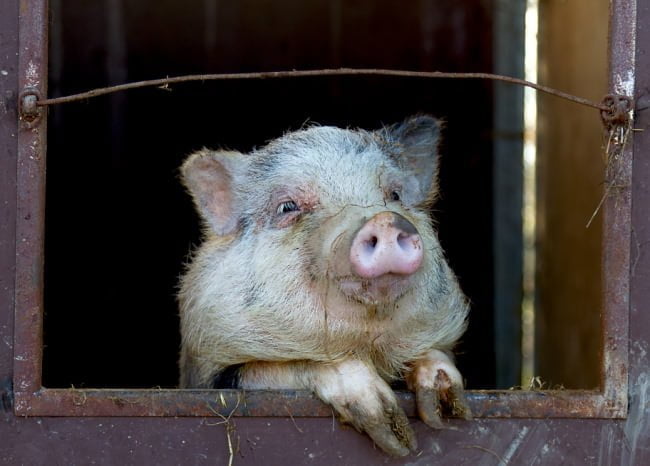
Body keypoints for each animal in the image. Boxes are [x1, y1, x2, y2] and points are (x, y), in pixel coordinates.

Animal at [178, 114, 470, 456]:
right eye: (288, 207)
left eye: (395, 195)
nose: (383, 220)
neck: (367, 345)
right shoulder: (210, 373)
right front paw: (394, 436)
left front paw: (444, 412)